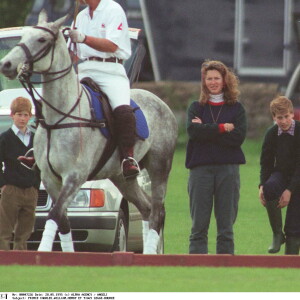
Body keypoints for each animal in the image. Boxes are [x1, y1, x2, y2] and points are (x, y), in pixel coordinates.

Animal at [0, 11, 177, 254]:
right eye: (24, 36)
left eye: (42, 40)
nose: (6, 64)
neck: (60, 117)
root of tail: (161, 102)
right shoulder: (50, 178)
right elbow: (63, 221)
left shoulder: (75, 176)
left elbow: (54, 215)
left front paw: (42, 253)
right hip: (122, 176)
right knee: (147, 208)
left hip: (159, 166)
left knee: (157, 212)